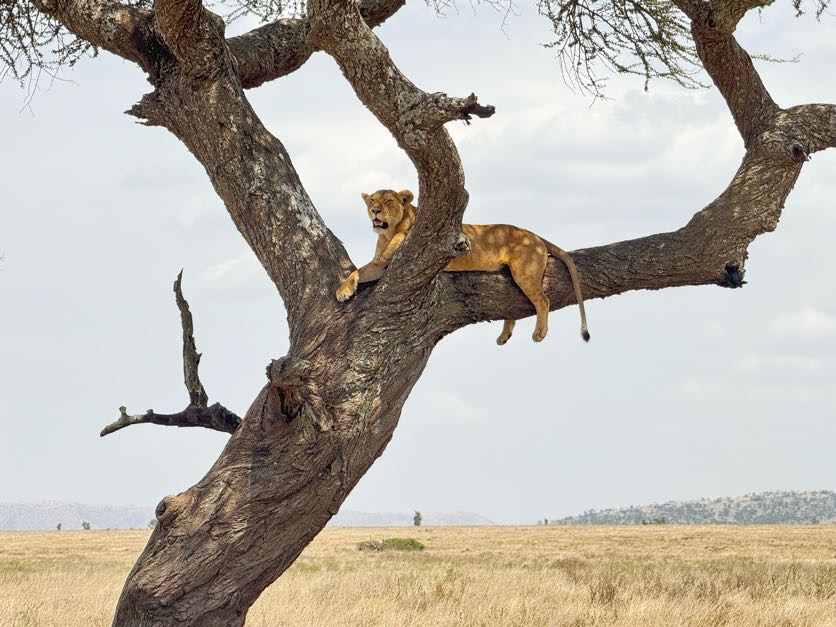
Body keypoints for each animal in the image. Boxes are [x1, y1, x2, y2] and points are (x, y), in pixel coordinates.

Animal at [335, 189, 590, 345]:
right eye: (372, 201)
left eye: (388, 201)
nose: (375, 211)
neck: (387, 232)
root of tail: (534, 235)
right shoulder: (379, 265)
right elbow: (357, 271)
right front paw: (343, 291)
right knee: (512, 308)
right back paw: (504, 336)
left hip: (524, 272)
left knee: (543, 300)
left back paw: (539, 333)